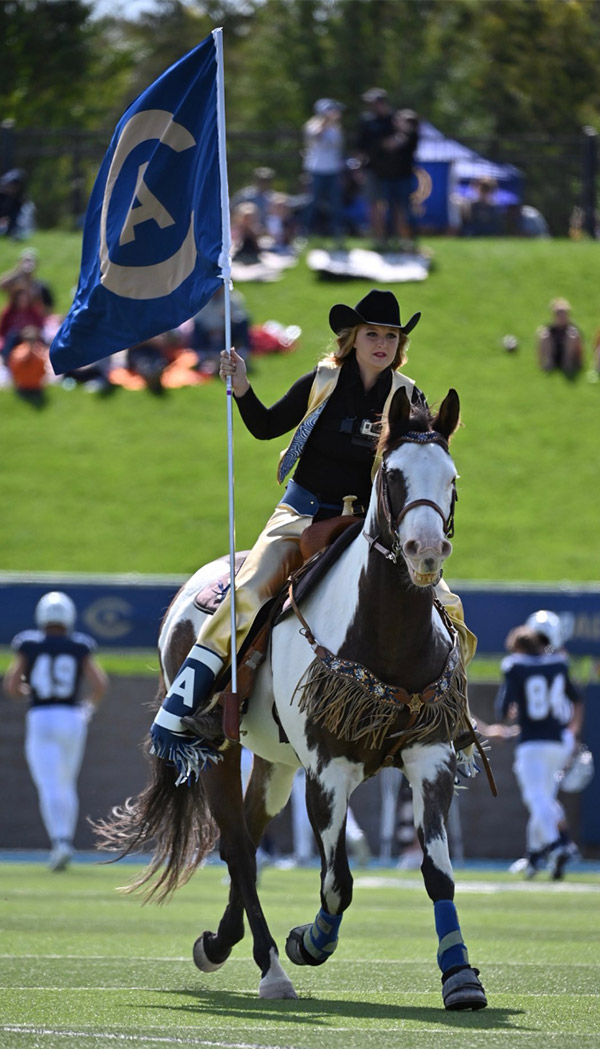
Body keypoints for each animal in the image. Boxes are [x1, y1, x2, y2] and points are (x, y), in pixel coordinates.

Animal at [97, 390, 486, 1011]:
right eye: (392, 475)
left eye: (451, 478)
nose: (426, 551)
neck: (385, 632)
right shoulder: (328, 770)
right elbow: (337, 883)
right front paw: (310, 940)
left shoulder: (431, 758)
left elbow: (437, 872)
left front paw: (460, 975)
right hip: (220, 749)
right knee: (236, 845)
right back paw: (271, 966)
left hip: (274, 762)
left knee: (252, 840)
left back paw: (221, 942)